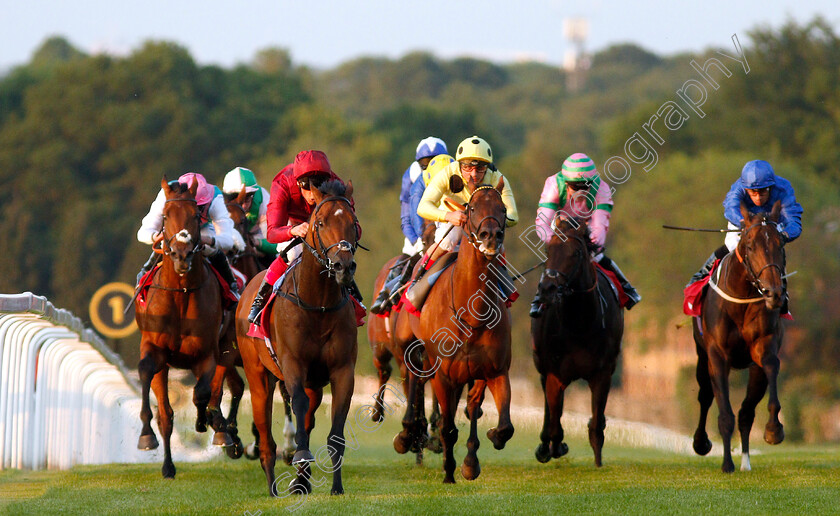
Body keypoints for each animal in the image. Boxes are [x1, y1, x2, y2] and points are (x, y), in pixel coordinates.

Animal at [136, 178, 233, 480]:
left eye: (195, 216)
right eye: (166, 216)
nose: (181, 254)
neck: (181, 293)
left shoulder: (206, 353)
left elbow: (201, 393)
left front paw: (204, 421)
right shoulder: (155, 350)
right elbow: (149, 379)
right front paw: (146, 436)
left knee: (215, 389)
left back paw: (218, 428)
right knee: (167, 413)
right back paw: (168, 464)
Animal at [235, 178, 360, 496]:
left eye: (352, 222)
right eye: (320, 222)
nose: (343, 266)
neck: (318, 304)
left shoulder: (343, 370)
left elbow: (334, 432)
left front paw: (336, 487)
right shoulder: (292, 364)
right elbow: (297, 403)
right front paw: (300, 454)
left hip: (314, 383)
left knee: (310, 415)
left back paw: (301, 480)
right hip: (258, 377)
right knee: (266, 435)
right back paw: (272, 485)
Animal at [406, 178, 516, 484]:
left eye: (503, 208)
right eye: (472, 208)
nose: (491, 236)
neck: (471, 312)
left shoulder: (495, 370)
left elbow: (504, 426)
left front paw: (478, 453)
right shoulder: (444, 376)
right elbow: (448, 427)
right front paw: (448, 472)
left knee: (472, 407)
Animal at [532, 214, 624, 468]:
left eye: (576, 253)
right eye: (548, 249)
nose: (547, 288)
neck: (579, 324)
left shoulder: (602, 373)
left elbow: (596, 426)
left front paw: (598, 462)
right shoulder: (554, 373)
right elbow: (555, 421)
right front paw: (555, 446)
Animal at [688, 201, 788, 472]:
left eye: (781, 244)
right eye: (751, 245)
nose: (774, 293)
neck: (742, 298)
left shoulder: (763, 346)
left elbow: (771, 366)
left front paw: (774, 429)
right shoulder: (717, 356)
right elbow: (724, 413)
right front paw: (726, 464)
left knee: (746, 412)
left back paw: (745, 461)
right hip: (702, 357)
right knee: (705, 395)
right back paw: (702, 443)